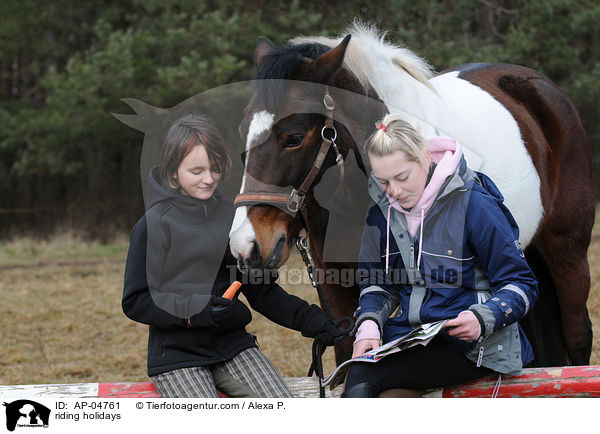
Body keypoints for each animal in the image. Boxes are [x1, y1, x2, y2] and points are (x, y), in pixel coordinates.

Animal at [230, 24, 596, 366]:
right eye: (242, 132)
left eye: (292, 138)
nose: (245, 246)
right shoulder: (336, 287)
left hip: (567, 251)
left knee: (577, 335)